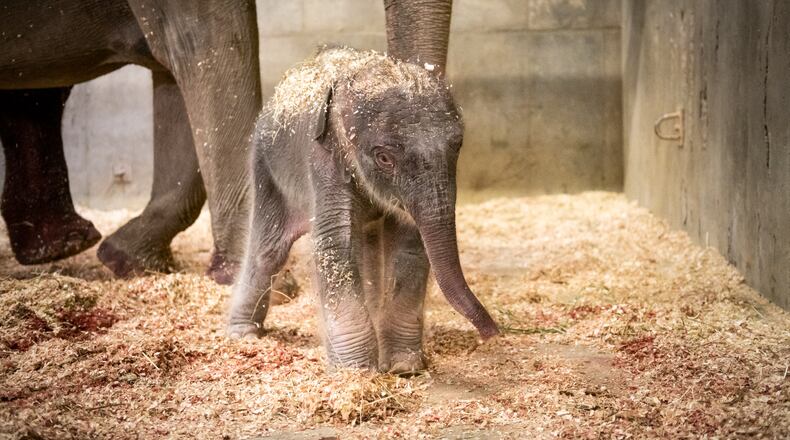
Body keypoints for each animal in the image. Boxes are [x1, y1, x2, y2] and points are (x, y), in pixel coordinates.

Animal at [228, 47, 499, 373]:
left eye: (457, 146)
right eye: (384, 158)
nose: (493, 334)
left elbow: (409, 242)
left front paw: (403, 366)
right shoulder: (323, 159)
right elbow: (336, 244)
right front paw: (356, 372)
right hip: (265, 167)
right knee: (268, 251)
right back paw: (243, 335)